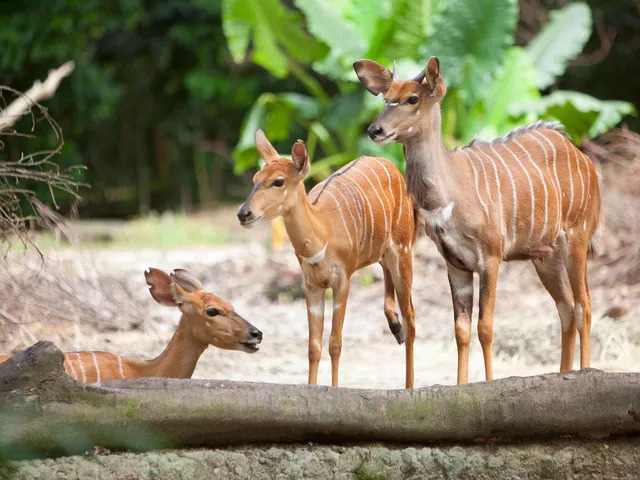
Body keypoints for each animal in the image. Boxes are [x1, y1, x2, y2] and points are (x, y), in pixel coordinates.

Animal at [238, 129, 418, 388]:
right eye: (255, 179)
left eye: (278, 181)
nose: (243, 213)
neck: (322, 231)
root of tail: (389, 165)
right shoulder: (312, 285)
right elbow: (313, 346)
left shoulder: (342, 282)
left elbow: (335, 343)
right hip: (384, 250)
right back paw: (395, 327)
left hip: (403, 249)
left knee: (411, 318)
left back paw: (409, 384)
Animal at [356, 57, 600, 386]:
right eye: (385, 98)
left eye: (412, 98)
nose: (374, 129)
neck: (449, 192)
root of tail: (583, 157)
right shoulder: (455, 264)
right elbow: (461, 331)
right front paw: (461, 386)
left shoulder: (491, 258)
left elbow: (485, 327)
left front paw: (488, 383)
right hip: (544, 256)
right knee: (567, 308)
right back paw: (563, 374)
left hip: (577, 235)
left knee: (584, 305)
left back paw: (584, 372)